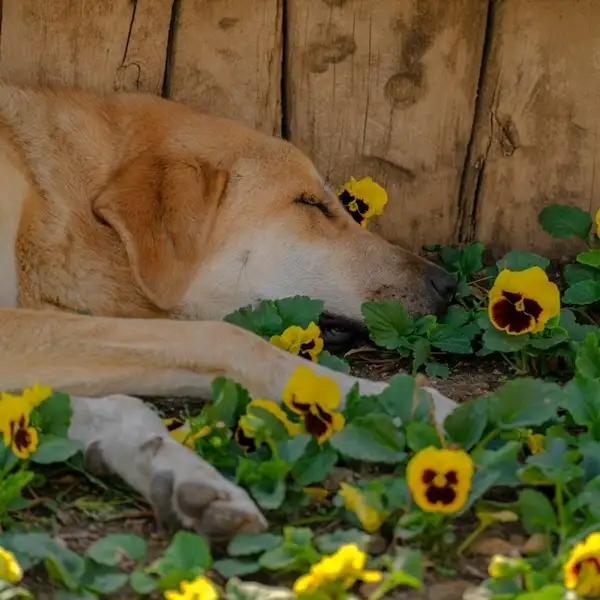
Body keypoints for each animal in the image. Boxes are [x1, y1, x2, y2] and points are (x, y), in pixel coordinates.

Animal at [0, 86, 454, 540]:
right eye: (310, 203)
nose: (447, 285)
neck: (52, 199)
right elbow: (230, 340)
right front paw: (403, 400)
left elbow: (120, 405)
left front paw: (180, 475)